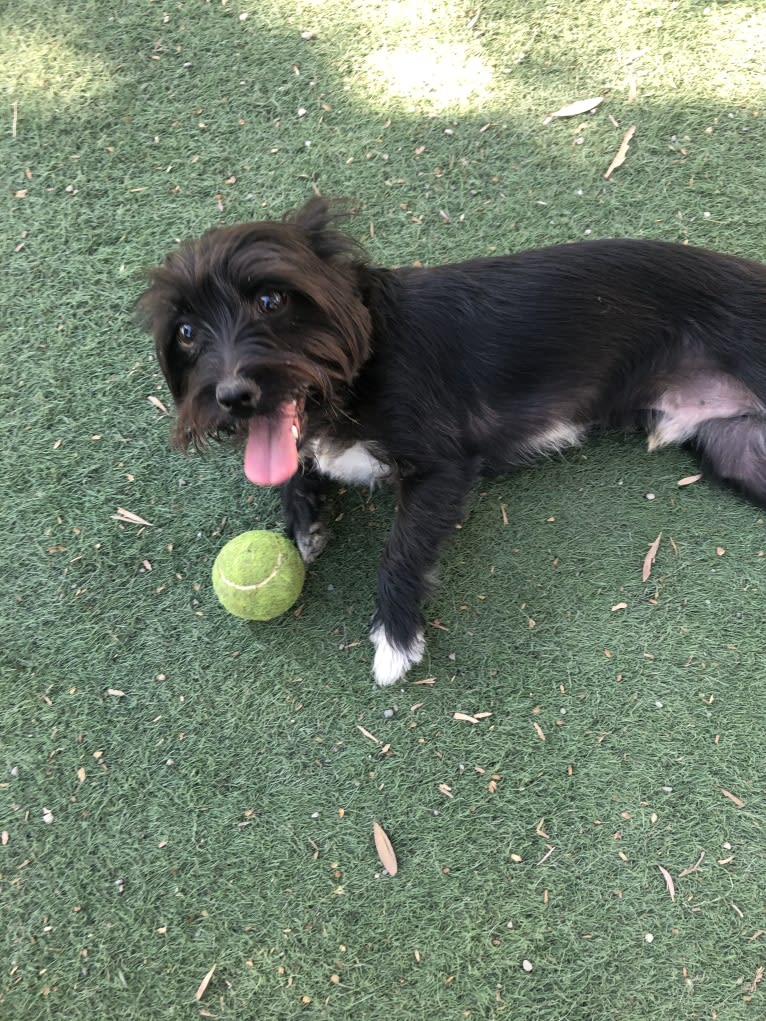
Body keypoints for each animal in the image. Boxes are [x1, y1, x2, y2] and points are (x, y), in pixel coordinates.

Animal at [139, 197, 766, 686]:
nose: (232, 396)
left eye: (271, 300)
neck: (366, 359)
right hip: (741, 453)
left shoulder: (442, 467)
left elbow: (401, 548)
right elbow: (298, 468)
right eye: (186, 332)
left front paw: (395, 637)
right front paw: (304, 521)